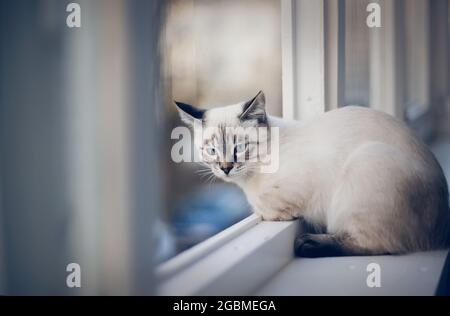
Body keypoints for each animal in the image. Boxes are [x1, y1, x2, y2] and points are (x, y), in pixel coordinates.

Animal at [175, 90, 450, 256]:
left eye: (239, 148)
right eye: (212, 150)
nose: (225, 168)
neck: (249, 181)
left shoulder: (291, 194)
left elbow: (265, 206)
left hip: (364, 166)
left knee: (377, 245)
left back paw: (309, 244)